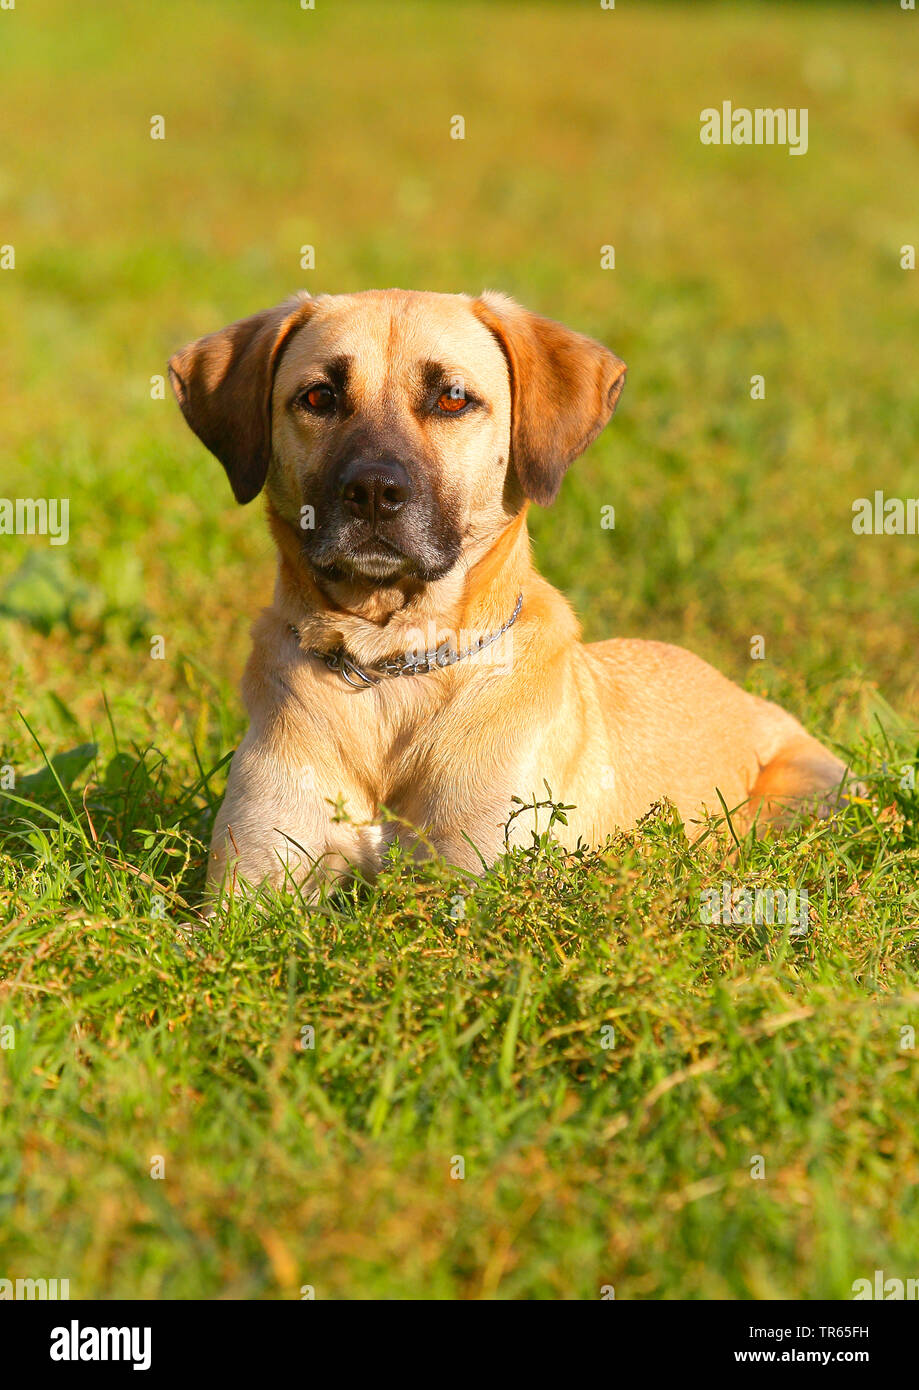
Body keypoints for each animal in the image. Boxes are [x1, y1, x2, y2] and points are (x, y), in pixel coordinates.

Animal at [168, 287, 850, 895]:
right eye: (319, 396)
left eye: (452, 398)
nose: (372, 492)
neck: (390, 663)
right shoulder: (251, 885)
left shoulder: (477, 881)